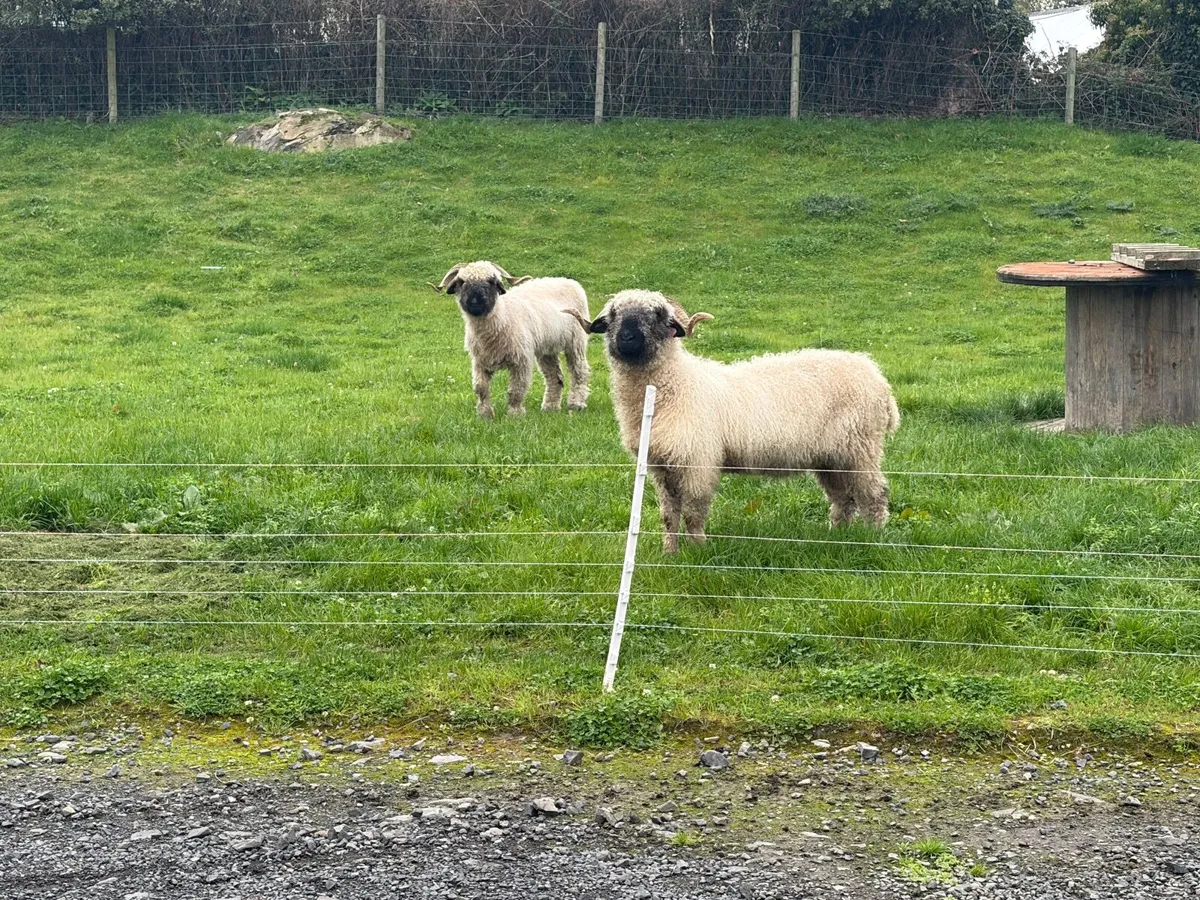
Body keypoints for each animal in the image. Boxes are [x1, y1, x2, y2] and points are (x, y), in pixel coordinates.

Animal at [433, 261, 591, 419]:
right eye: (461, 282)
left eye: (492, 281)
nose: (475, 301)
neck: (503, 316)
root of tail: (569, 281)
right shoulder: (479, 361)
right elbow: (481, 388)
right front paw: (485, 414)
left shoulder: (521, 359)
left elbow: (516, 389)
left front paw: (515, 414)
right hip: (548, 348)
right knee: (554, 376)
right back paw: (550, 407)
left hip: (576, 340)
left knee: (579, 371)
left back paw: (576, 403)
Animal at [566, 290, 900, 553]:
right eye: (613, 315)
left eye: (659, 315)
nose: (627, 338)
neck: (675, 385)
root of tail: (880, 380)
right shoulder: (661, 466)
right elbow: (669, 515)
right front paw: (670, 552)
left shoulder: (698, 462)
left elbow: (693, 512)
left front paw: (699, 549)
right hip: (831, 457)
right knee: (844, 499)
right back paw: (838, 536)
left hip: (860, 448)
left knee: (874, 494)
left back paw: (875, 537)